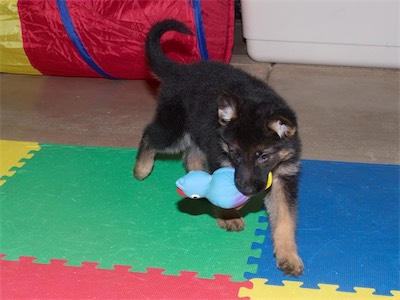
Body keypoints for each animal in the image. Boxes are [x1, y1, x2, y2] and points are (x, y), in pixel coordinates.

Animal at [134, 19, 304, 276]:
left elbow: (285, 219)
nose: (246, 190)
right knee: (149, 135)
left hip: (194, 133)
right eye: (235, 154)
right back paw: (142, 168)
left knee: (191, 156)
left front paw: (288, 256)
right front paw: (229, 215)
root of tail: (180, 71)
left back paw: (196, 179)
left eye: (263, 156)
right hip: (175, 132)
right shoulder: (220, 157)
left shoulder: (284, 177)